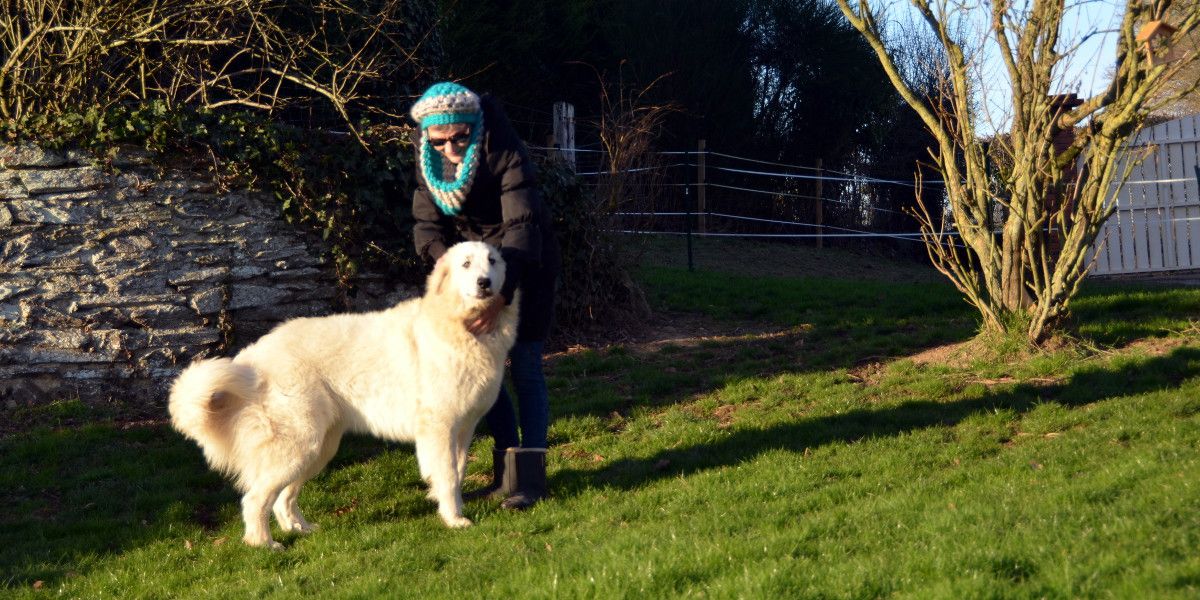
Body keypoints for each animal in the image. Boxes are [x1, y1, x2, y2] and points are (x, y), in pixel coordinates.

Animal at [168, 240, 516, 549]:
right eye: (466, 264)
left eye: (492, 261)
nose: (484, 283)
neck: (459, 324)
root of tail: (250, 360)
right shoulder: (439, 428)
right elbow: (447, 476)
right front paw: (454, 520)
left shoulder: (463, 428)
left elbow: (458, 471)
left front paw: (452, 510)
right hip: (300, 445)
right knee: (255, 499)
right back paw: (263, 544)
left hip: (319, 447)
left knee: (283, 498)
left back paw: (300, 529)